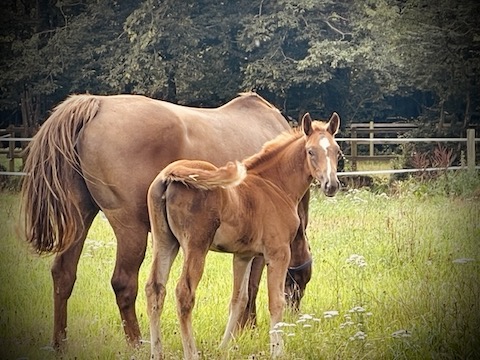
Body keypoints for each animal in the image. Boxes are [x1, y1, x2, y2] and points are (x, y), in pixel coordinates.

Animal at [19, 91, 312, 348]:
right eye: (302, 282)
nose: (295, 316)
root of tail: (97, 104)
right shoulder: (261, 247)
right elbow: (252, 286)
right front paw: (248, 328)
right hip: (131, 228)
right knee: (124, 283)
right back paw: (137, 343)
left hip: (81, 217)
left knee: (64, 274)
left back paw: (60, 343)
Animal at [146, 111, 342, 358]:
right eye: (310, 151)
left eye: (337, 151)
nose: (331, 185)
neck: (274, 185)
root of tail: (170, 173)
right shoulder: (278, 254)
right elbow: (275, 301)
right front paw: (277, 350)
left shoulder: (243, 255)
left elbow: (239, 299)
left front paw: (224, 347)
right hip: (196, 246)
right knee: (184, 293)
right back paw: (191, 352)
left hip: (165, 242)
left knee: (154, 289)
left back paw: (156, 352)